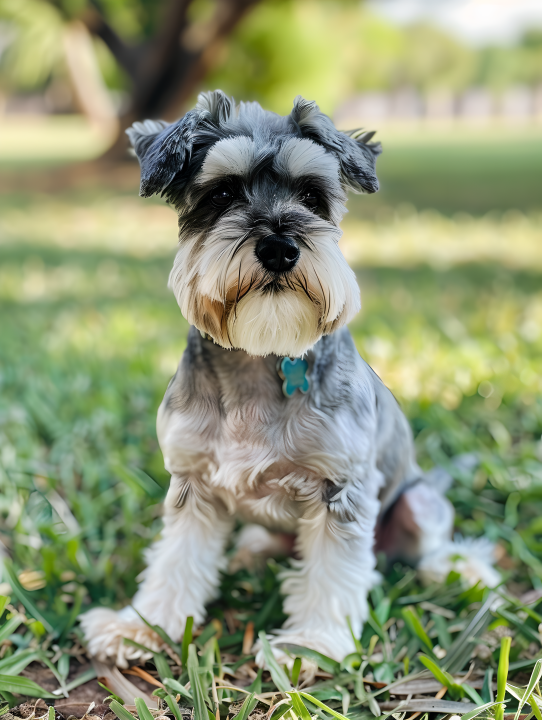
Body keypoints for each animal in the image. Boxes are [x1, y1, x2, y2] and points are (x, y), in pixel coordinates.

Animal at [78, 90, 500, 668]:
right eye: (223, 192)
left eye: (311, 195)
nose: (280, 248)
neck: (261, 358)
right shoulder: (192, 483)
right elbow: (175, 562)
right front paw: (142, 627)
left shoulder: (340, 489)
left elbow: (333, 574)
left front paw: (312, 643)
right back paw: (254, 551)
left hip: (416, 503)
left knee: (426, 548)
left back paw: (461, 570)